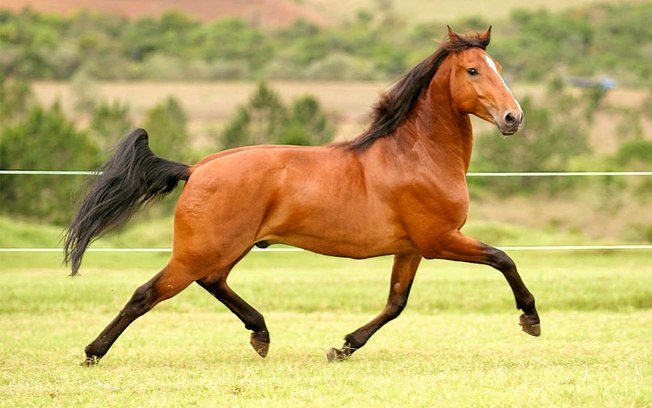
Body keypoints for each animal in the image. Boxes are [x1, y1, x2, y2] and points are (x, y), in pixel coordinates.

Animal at [63, 28, 540, 366]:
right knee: (147, 294)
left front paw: (343, 346)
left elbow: (396, 303)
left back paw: (260, 334)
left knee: (213, 282)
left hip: (226, 248)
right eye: (473, 70)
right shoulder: (440, 240)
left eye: (497, 65)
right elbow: (503, 259)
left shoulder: (412, 248)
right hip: (200, 251)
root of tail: (197, 169)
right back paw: (92, 352)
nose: (513, 117)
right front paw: (530, 318)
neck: (417, 155)